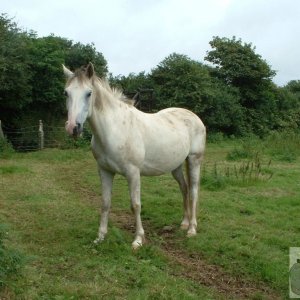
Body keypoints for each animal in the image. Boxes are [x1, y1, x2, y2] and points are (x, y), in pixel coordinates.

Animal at [63, 62, 206, 248]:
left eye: (89, 93)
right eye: (66, 93)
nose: (73, 128)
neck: (114, 129)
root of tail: (194, 116)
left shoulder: (133, 173)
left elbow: (135, 205)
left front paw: (138, 240)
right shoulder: (105, 171)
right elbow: (105, 203)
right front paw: (100, 237)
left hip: (194, 160)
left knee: (194, 191)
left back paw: (192, 229)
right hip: (176, 166)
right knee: (184, 188)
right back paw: (184, 223)